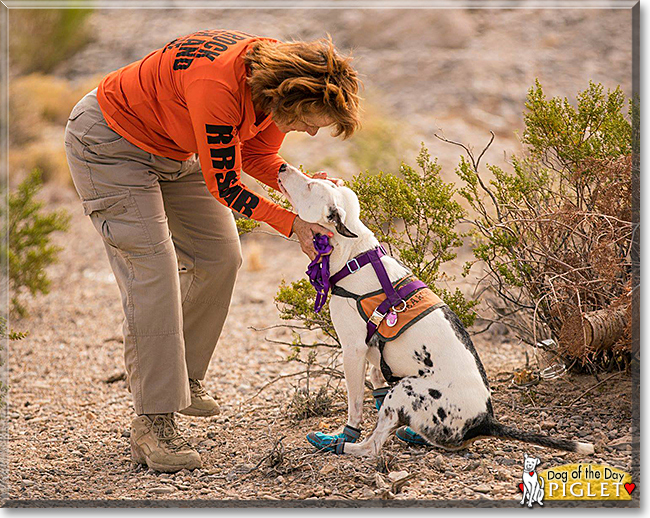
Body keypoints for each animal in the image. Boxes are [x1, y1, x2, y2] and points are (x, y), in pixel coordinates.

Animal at [276, 167, 596, 460]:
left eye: (309, 185)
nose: (281, 166)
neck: (355, 255)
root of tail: (485, 421)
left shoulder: (352, 351)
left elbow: (355, 406)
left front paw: (345, 434)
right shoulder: (372, 355)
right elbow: (376, 386)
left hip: (405, 389)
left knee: (374, 446)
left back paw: (344, 446)